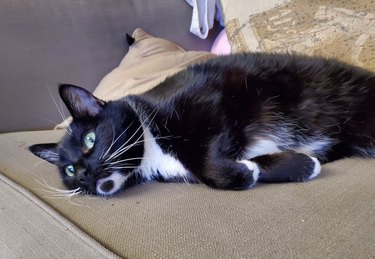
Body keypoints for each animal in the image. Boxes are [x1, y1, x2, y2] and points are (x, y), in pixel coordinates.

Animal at [30, 53, 375, 197]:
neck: (152, 149)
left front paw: (240, 173)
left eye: (90, 140)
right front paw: (301, 165)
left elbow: (208, 163)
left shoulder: (209, 98)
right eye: (68, 171)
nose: (84, 174)